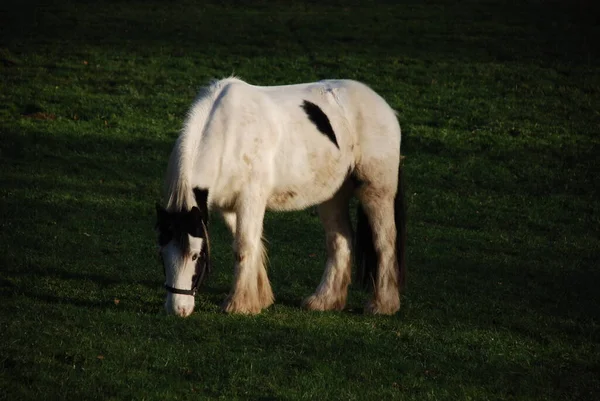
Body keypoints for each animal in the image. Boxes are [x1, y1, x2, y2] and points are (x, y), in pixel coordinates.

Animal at [155, 77, 408, 316]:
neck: (229, 134)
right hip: (333, 195)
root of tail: (384, 107)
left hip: (377, 191)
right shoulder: (228, 207)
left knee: (384, 242)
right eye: (162, 255)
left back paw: (382, 304)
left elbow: (244, 246)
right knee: (340, 240)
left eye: (196, 256)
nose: (178, 309)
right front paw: (259, 299)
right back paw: (325, 301)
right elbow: (252, 244)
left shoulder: (251, 199)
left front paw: (239, 304)